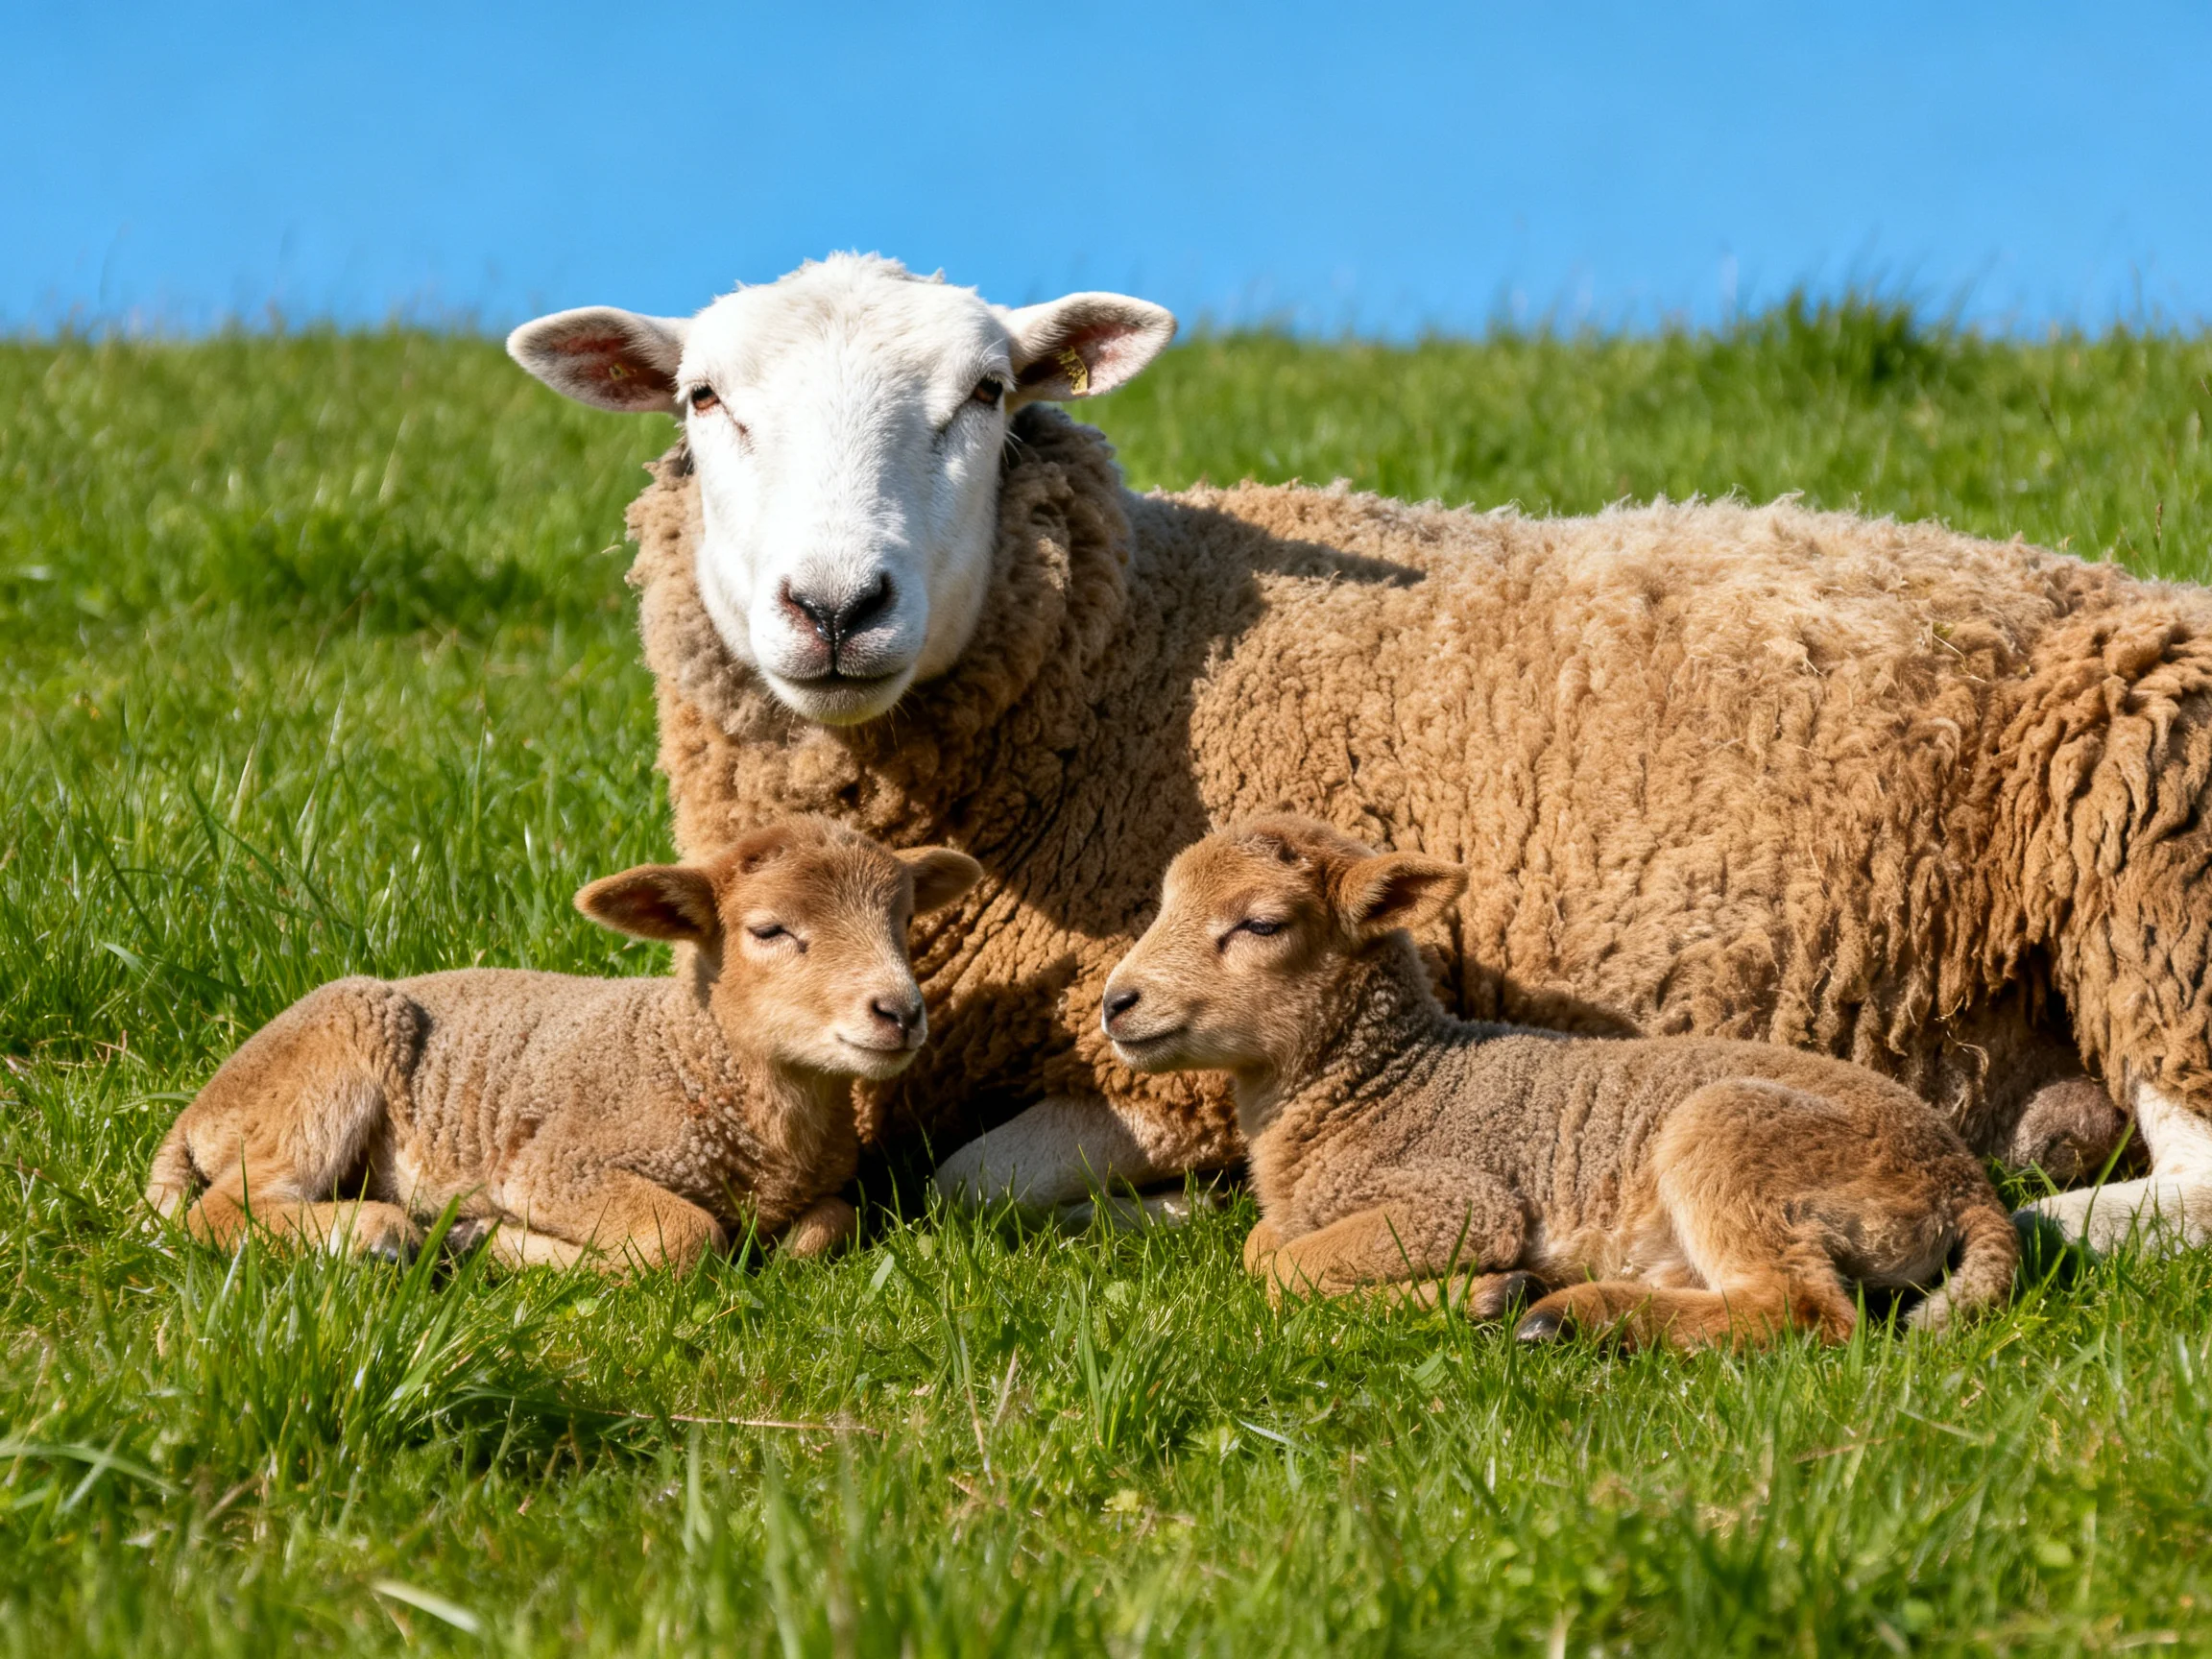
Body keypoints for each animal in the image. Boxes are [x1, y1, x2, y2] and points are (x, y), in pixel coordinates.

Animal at [144, 817, 981, 1273]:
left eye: (904, 920)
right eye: (770, 930)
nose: (900, 1012)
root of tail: (198, 1112)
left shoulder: (825, 1189)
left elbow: (831, 1226)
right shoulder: (558, 1165)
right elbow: (686, 1238)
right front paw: (488, 1240)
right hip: (323, 1069)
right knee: (223, 1211)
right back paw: (377, 1233)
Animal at [508, 252, 2212, 1252]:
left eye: (987, 394)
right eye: (703, 397)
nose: (835, 606)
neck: (1138, 649)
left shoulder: (1178, 1057)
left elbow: (970, 1179)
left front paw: (1161, 1213)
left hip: (2154, 885)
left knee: (2188, 1194)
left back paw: (2034, 1205)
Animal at [1101, 816, 2021, 1347]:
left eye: (1262, 923)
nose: (1116, 1003)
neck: (1384, 1083)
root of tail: (1966, 1187)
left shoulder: (1456, 1198)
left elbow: (1279, 1270)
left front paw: (1482, 1291)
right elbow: (1264, 1247)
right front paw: (1479, 1293)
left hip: (1740, 1142)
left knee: (1803, 1312)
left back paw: (1563, 1316)